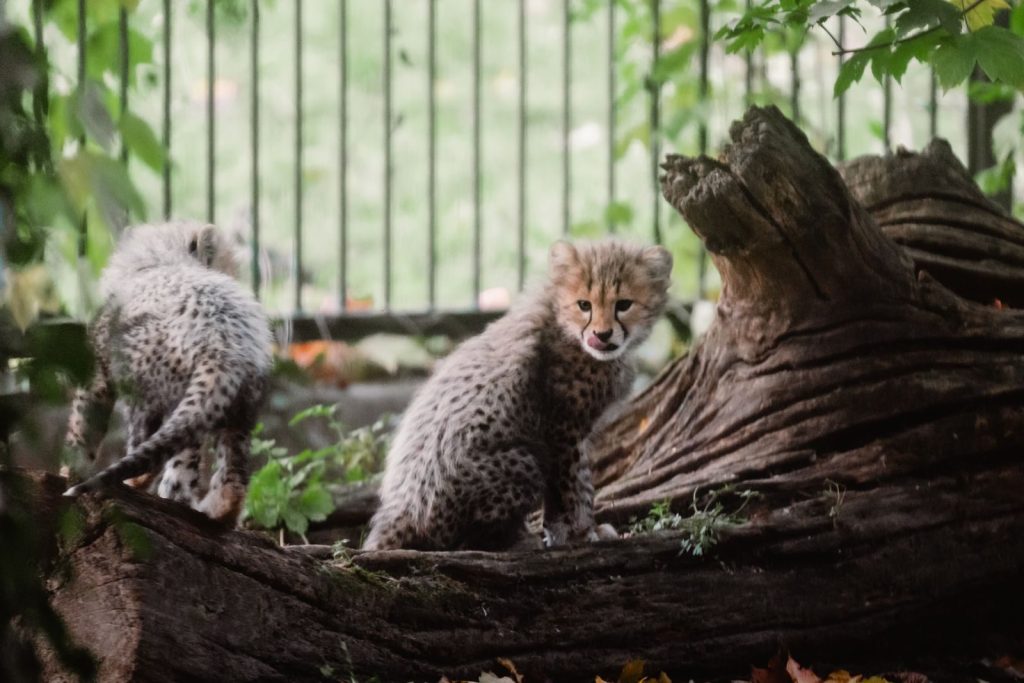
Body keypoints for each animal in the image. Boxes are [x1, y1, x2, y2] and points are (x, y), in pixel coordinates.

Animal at [63, 220, 272, 524]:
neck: (159, 260)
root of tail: (224, 346)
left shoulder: (96, 375)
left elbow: (82, 427)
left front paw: (70, 470)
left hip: (145, 386)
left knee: (154, 453)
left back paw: (142, 488)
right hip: (236, 408)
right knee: (231, 476)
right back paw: (214, 512)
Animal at [363, 238, 672, 550]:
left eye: (624, 305)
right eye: (584, 305)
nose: (602, 335)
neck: (564, 323)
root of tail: (400, 515)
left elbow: (570, 492)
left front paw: (569, 533)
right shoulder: (563, 432)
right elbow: (575, 486)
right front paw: (583, 533)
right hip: (524, 462)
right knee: (463, 543)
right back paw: (517, 541)